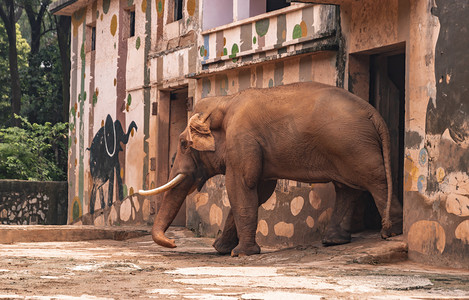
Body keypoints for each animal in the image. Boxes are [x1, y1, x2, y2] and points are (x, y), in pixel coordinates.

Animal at [140, 81, 402, 255]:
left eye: (184, 144)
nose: (174, 242)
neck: (226, 100)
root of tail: (373, 113)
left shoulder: (242, 139)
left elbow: (242, 186)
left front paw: (241, 254)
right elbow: (259, 191)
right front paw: (221, 249)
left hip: (353, 145)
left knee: (375, 180)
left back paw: (391, 231)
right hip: (347, 147)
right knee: (348, 188)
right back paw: (334, 241)